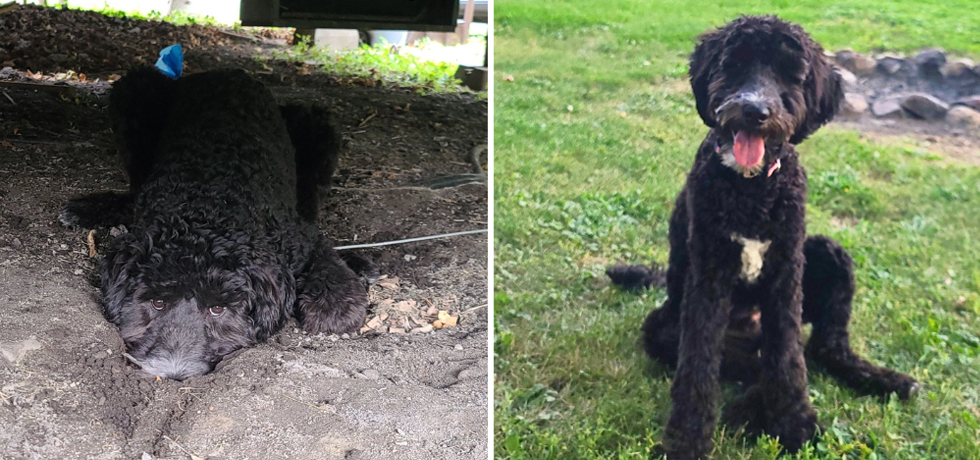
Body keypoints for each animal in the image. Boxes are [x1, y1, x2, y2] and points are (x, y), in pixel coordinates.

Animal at [62, 66, 368, 380]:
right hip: (136, 91)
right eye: (157, 302)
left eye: (218, 309)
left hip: (316, 128)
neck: (210, 206)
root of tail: (228, 71)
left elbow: (322, 248)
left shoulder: (298, 236)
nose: (173, 373)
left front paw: (336, 301)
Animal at [604, 15, 920, 460]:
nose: (755, 110)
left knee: (819, 350)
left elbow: (787, 358)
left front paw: (797, 426)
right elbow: (700, 365)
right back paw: (746, 409)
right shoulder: (709, 279)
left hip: (827, 253)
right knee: (754, 364)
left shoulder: (786, 275)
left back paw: (884, 380)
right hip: (666, 327)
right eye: (734, 63)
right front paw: (687, 440)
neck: (751, 190)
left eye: (791, 72)